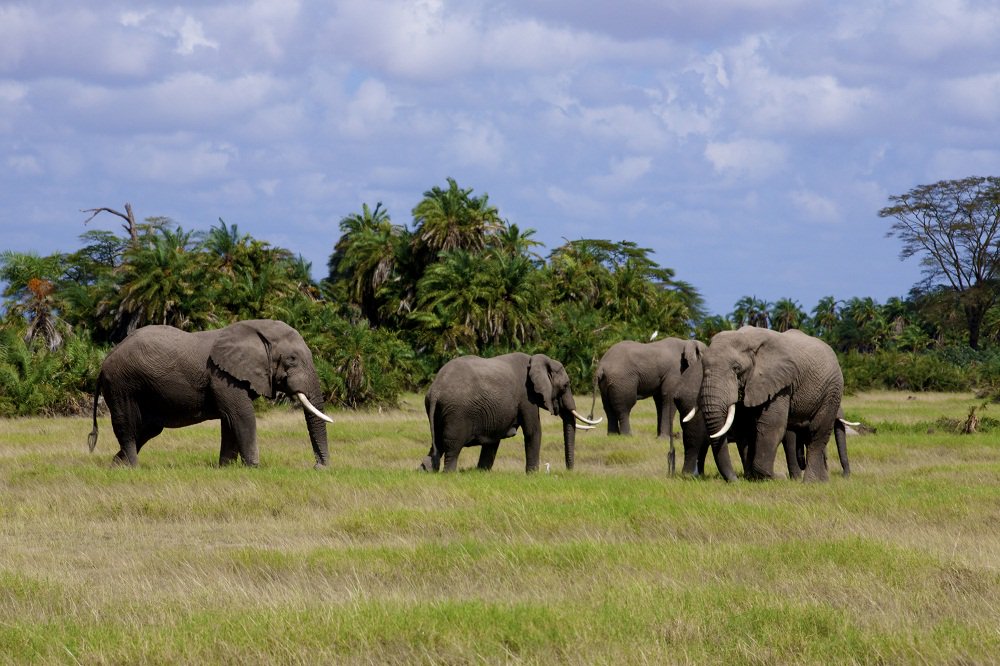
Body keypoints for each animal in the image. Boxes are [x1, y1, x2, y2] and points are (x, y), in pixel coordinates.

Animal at [86, 318, 332, 466]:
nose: (318, 467)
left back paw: (116, 467)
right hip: (121, 384)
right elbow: (242, 417)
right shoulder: (222, 376)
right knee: (127, 426)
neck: (255, 329)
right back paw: (133, 468)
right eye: (292, 359)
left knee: (148, 429)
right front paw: (254, 468)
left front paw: (226, 468)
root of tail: (105, 361)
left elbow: (230, 421)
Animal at [418, 352, 596, 472]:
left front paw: (481, 473)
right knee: (452, 446)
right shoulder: (526, 397)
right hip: (457, 413)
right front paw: (533, 475)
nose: (569, 471)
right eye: (565, 385)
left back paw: (425, 470)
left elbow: (493, 439)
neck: (536, 360)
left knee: (437, 444)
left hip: (440, 412)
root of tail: (435, 390)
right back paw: (449, 473)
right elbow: (533, 431)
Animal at [592, 340, 728, 474]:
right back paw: (627, 436)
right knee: (624, 408)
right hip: (622, 381)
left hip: (607, 383)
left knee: (608, 409)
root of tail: (601, 366)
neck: (687, 342)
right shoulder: (675, 371)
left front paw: (659, 437)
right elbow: (669, 397)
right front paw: (665, 439)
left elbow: (660, 401)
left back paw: (613, 436)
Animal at [696, 324, 844, 480]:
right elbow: (744, 426)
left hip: (832, 390)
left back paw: (813, 481)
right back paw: (822, 480)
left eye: (736, 368)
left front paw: (774, 477)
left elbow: (772, 425)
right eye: (702, 366)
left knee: (818, 431)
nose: (736, 480)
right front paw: (752, 478)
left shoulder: (780, 384)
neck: (747, 339)